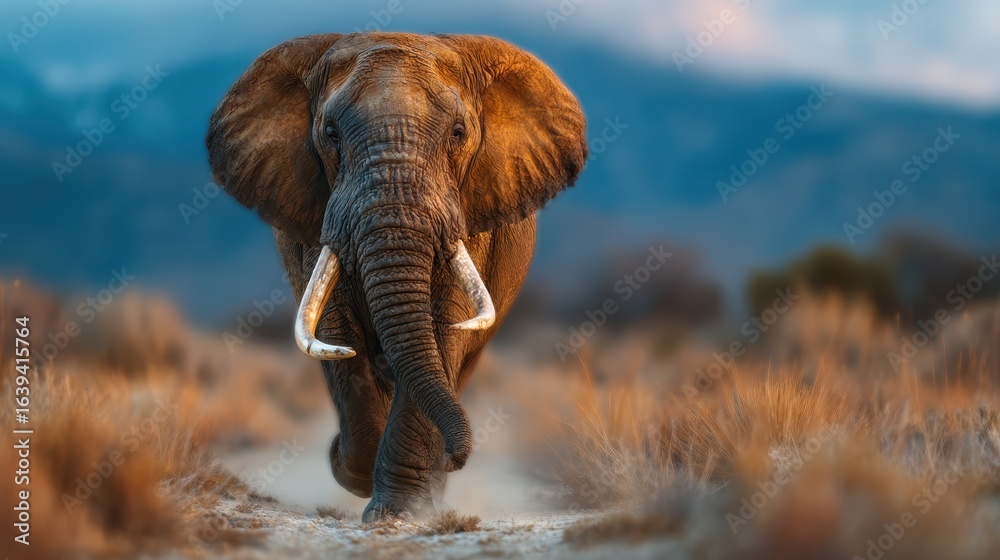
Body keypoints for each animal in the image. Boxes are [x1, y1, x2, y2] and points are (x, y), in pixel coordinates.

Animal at [206, 32, 587, 521]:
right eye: (331, 135)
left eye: (458, 134)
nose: (457, 457)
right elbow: (338, 335)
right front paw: (350, 469)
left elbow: (444, 330)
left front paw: (400, 512)